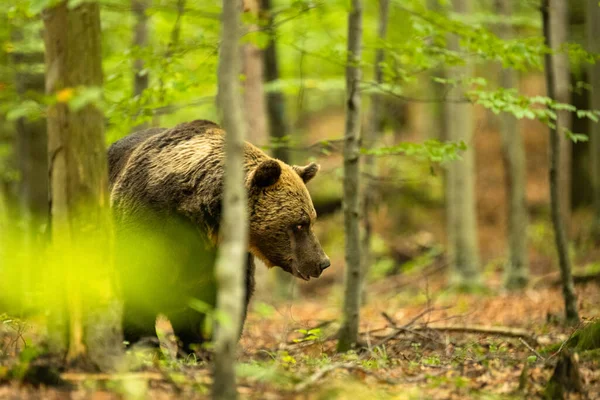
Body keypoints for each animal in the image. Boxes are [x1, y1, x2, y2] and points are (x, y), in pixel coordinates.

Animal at [110, 119, 330, 354]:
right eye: (299, 224)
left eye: (311, 220)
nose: (322, 262)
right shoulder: (149, 227)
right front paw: (145, 347)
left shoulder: (218, 257)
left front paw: (203, 347)